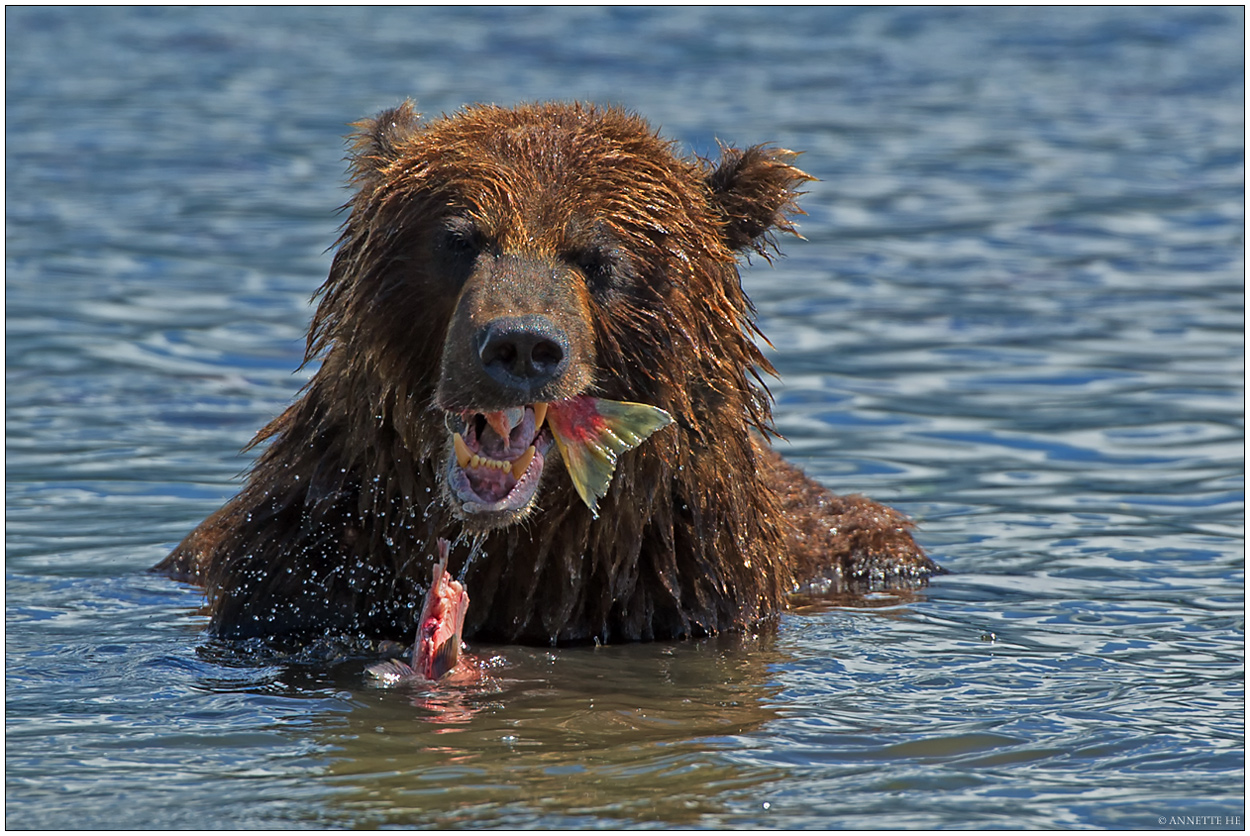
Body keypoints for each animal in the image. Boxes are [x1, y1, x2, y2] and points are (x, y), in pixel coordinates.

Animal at [156, 99, 940, 644]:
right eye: (460, 238)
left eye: (600, 258)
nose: (522, 346)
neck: (526, 555)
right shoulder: (304, 570)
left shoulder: (685, 589)